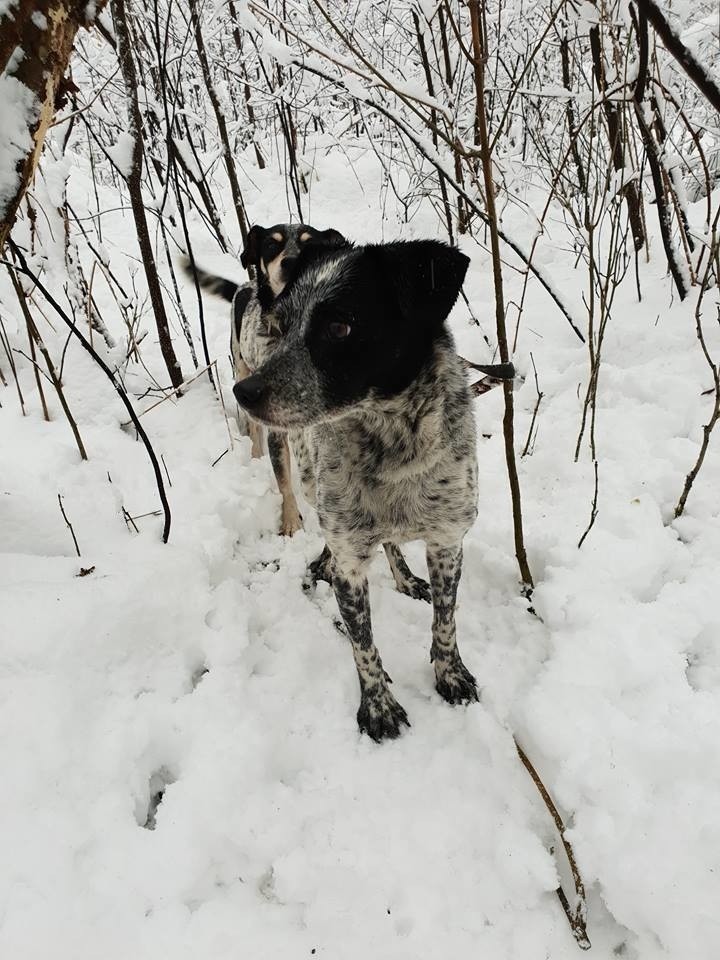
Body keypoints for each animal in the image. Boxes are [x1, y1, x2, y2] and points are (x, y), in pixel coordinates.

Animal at [233, 238, 478, 744]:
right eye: (282, 327)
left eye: (340, 326)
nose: (243, 391)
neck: (393, 448)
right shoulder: (349, 558)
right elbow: (363, 645)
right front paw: (378, 705)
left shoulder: (448, 540)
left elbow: (445, 619)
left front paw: (450, 674)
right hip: (310, 481)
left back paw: (404, 577)